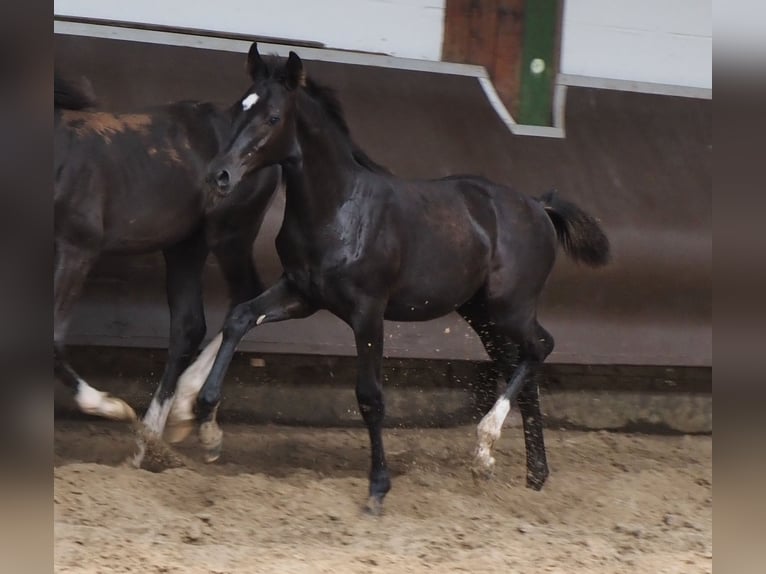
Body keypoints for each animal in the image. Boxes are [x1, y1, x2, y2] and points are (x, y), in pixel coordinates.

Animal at [172, 44, 612, 512]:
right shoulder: (301, 293)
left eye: (272, 117)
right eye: (240, 107)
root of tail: (538, 205)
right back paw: (531, 474)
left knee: (541, 347)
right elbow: (239, 317)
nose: (219, 175)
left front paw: (378, 487)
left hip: (511, 307)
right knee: (522, 367)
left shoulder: (368, 311)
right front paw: (203, 422)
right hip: (481, 313)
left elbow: (371, 397)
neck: (339, 208)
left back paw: (485, 447)